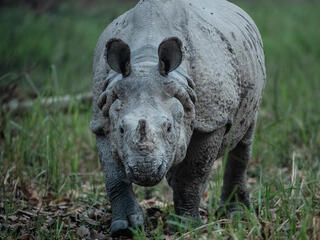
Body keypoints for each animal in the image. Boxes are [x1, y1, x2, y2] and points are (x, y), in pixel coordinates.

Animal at [89, 0, 264, 236]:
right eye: (122, 130)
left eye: (169, 128)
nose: (145, 171)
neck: (145, 61)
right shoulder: (102, 114)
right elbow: (113, 175)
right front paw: (125, 228)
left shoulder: (211, 121)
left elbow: (193, 173)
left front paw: (186, 226)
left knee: (243, 138)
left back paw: (237, 214)